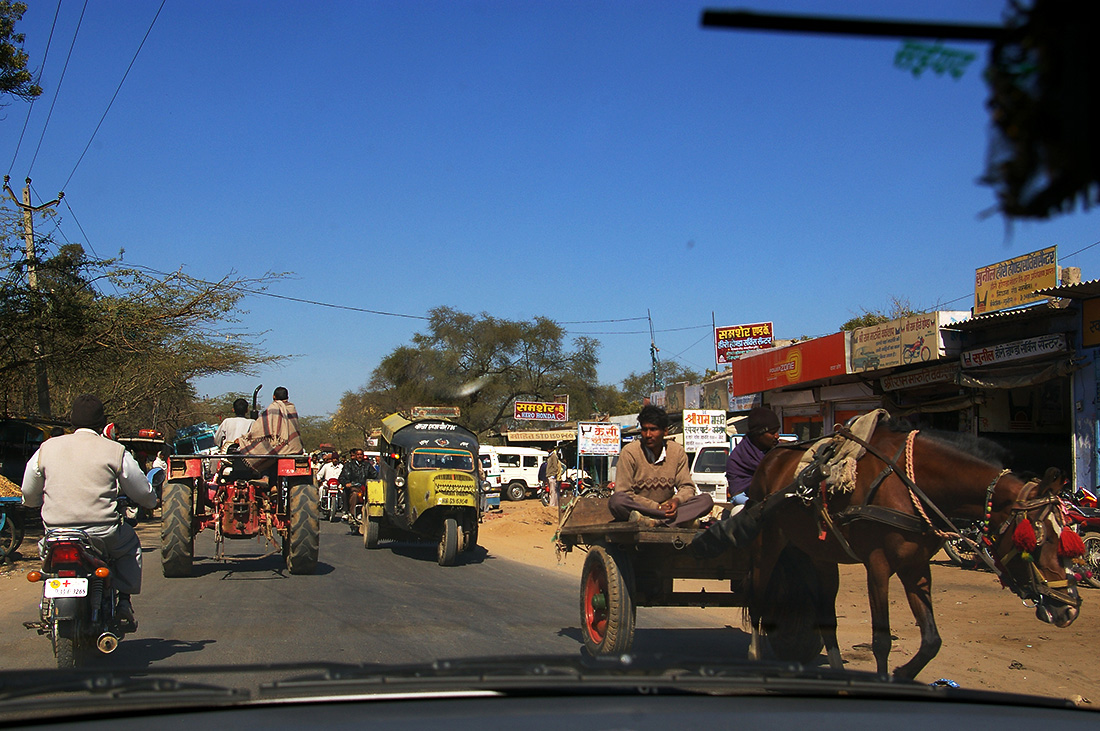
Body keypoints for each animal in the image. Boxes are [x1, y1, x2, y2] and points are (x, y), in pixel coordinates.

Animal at [748, 419, 1082, 681]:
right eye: (1036, 541)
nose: (1069, 610)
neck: (912, 482)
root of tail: (771, 458)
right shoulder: (878, 565)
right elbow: (881, 641)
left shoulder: (917, 566)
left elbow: (932, 640)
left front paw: (903, 674)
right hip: (767, 540)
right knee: (758, 601)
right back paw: (754, 658)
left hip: (821, 554)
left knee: (825, 610)